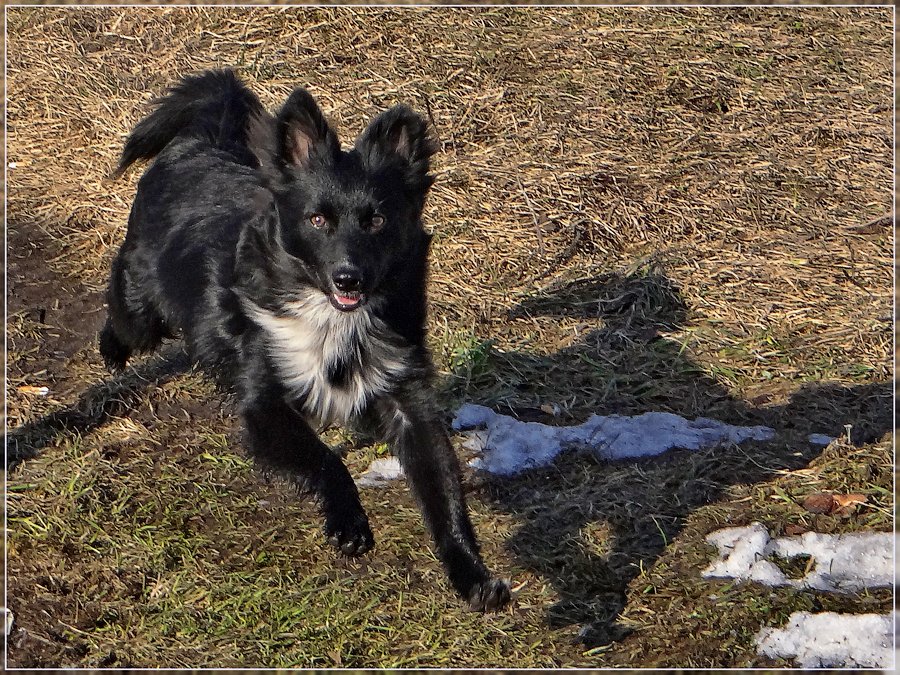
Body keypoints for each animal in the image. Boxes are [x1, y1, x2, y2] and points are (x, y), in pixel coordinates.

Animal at [101, 70, 510, 612]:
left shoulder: (407, 395)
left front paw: (471, 575)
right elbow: (326, 458)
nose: (349, 278)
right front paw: (349, 523)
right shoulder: (264, 404)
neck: (330, 317)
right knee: (122, 297)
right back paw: (111, 348)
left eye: (377, 220)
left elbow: (444, 495)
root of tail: (201, 144)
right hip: (145, 307)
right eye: (318, 220)